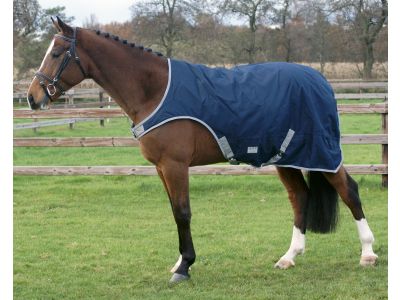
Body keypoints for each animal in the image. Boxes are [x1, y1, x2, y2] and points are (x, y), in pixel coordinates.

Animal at [26, 17, 376, 284]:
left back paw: (368, 253)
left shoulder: (174, 165)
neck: (155, 90)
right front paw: (180, 261)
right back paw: (289, 257)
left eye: (57, 53)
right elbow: (174, 212)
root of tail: (320, 81)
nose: (32, 97)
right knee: (299, 197)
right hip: (287, 157)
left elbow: (183, 212)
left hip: (320, 153)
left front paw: (184, 267)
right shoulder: (160, 168)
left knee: (349, 190)